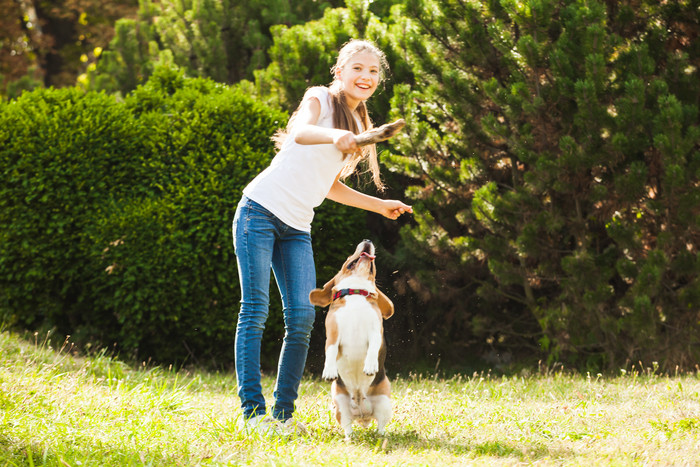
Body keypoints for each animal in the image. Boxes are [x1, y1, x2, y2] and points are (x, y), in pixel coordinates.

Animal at [308, 239, 394, 440]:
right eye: (349, 256)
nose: (367, 240)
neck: (357, 292)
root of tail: (362, 413)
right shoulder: (332, 334)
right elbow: (330, 351)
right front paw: (329, 371)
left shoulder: (375, 332)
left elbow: (373, 348)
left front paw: (370, 366)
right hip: (339, 403)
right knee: (347, 426)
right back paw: (350, 438)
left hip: (384, 401)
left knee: (381, 425)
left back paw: (381, 437)